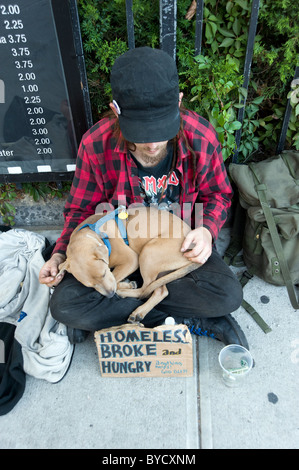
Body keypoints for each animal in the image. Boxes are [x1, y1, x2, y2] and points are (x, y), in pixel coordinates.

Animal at [58, 207, 199, 324]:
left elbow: (115, 278)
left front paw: (123, 285)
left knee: (145, 289)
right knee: (160, 291)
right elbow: (114, 280)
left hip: (148, 253)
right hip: (160, 269)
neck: (95, 234)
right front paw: (125, 284)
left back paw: (126, 297)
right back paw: (138, 307)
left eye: (104, 274)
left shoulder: (131, 260)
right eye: (90, 286)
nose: (110, 295)